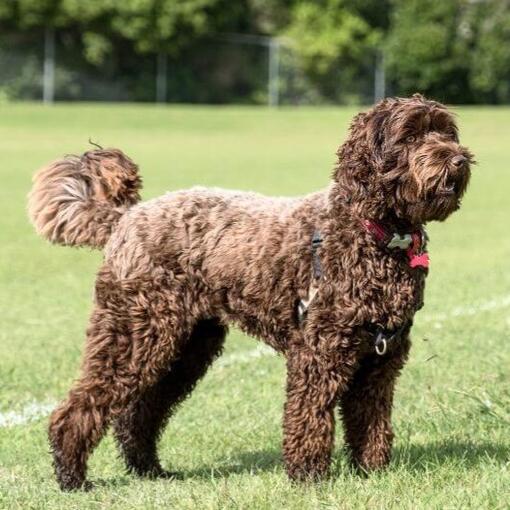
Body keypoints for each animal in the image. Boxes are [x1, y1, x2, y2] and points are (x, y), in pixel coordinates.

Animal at [27, 94, 474, 490]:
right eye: (410, 136)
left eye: (446, 132)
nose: (458, 159)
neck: (374, 233)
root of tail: (125, 217)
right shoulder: (319, 352)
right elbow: (310, 415)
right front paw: (309, 476)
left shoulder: (381, 358)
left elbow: (371, 419)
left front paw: (372, 471)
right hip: (133, 334)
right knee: (81, 407)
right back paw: (72, 477)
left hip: (187, 346)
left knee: (139, 413)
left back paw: (149, 470)